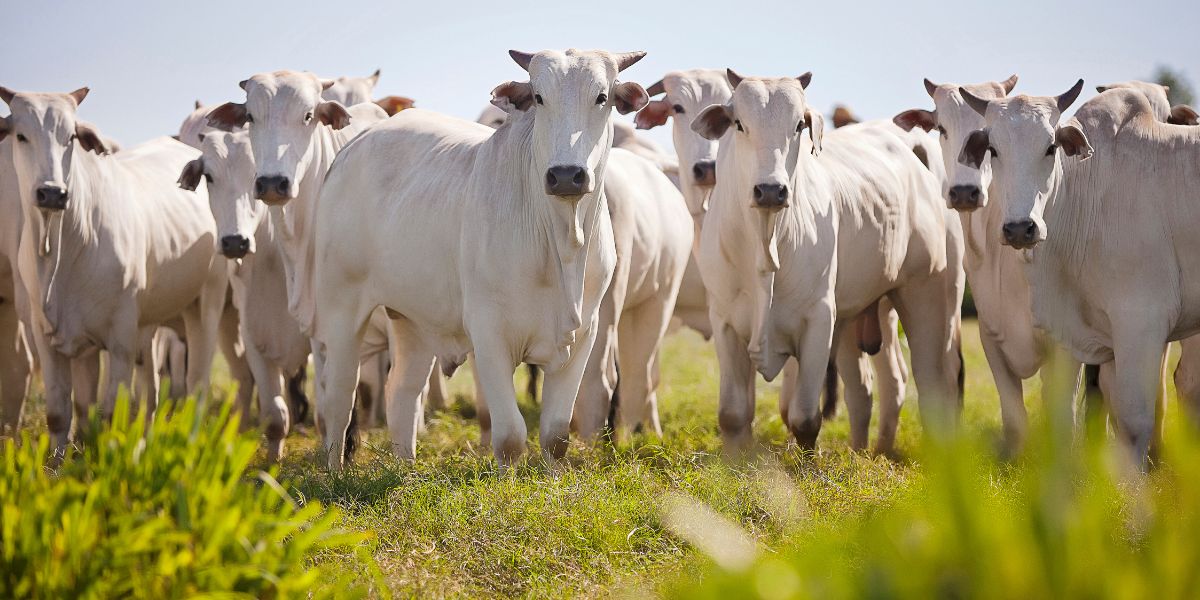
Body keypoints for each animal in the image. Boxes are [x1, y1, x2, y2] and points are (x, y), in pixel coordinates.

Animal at [0, 85, 226, 441]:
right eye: (21, 135)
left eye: (71, 136)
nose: (52, 193)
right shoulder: (51, 338)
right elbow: (65, 415)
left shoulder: (119, 339)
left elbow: (110, 415)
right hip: (147, 325)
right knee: (151, 392)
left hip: (206, 303)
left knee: (196, 385)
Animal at [180, 131, 309, 458]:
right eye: (209, 176)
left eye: (256, 176)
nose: (234, 242)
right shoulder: (253, 334)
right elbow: (274, 414)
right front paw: (273, 460)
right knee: (243, 378)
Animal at [309, 48, 648, 468]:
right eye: (539, 97)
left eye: (602, 97)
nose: (567, 175)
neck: (561, 243)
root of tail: (353, 148)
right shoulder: (489, 334)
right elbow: (510, 436)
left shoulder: (584, 333)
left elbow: (555, 436)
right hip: (340, 309)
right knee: (338, 397)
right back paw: (335, 470)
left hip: (412, 319)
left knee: (401, 392)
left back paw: (406, 468)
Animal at [691, 71, 960, 451]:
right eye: (739, 124)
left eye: (798, 126)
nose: (771, 190)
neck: (765, 244)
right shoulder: (725, 321)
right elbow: (733, 415)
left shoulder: (819, 319)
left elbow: (804, 418)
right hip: (859, 314)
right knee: (871, 388)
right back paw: (869, 452)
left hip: (929, 296)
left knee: (933, 383)